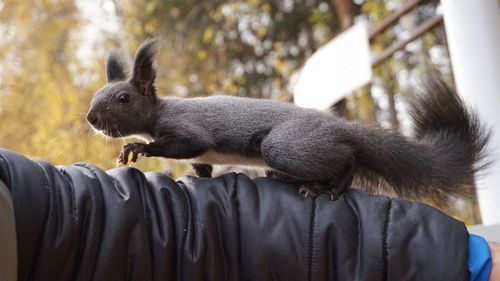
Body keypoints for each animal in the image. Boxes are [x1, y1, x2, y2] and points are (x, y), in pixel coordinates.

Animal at [87, 38, 492, 202]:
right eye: (95, 95)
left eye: (123, 98)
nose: (90, 118)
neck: (160, 110)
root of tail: (340, 127)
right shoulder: (202, 156)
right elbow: (202, 168)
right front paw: (194, 177)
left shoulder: (189, 131)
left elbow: (186, 145)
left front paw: (137, 147)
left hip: (284, 146)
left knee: (347, 160)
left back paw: (327, 189)